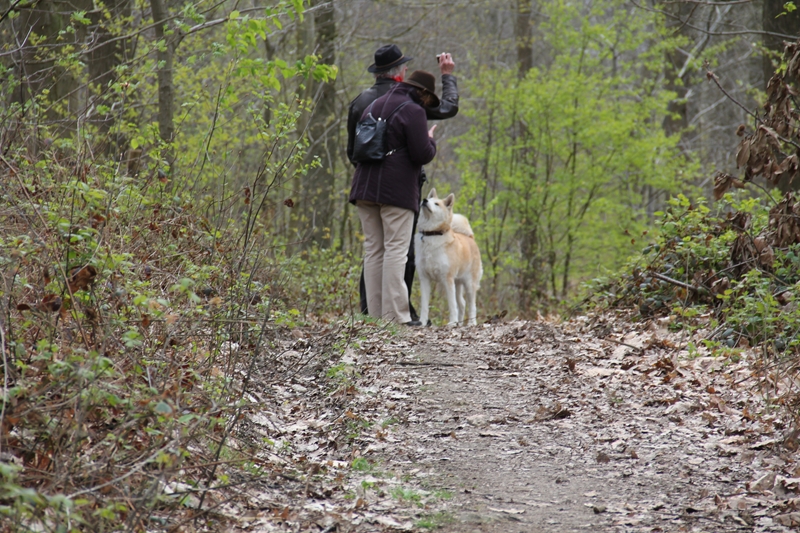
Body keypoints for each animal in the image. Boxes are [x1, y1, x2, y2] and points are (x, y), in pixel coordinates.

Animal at [418, 189, 482, 326]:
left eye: (436, 204)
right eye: (428, 199)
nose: (424, 200)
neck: (432, 235)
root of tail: (470, 237)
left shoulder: (447, 279)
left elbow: (452, 305)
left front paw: (452, 323)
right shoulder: (424, 279)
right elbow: (424, 305)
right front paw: (422, 322)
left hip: (469, 284)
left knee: (472, 305)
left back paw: (471, 323)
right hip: (458, 283)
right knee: (462, 303)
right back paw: (460, 323)